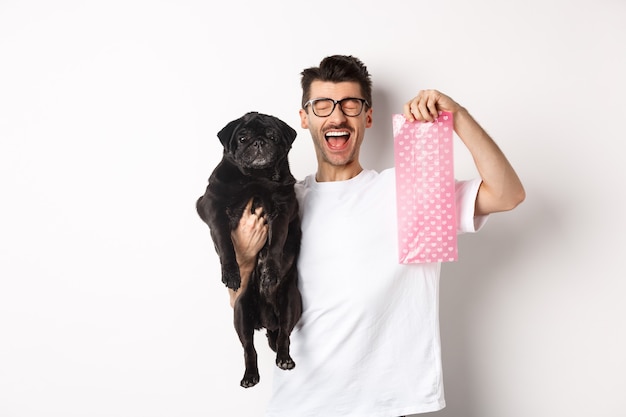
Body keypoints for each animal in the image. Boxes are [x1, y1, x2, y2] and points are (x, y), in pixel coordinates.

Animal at [196, 110, 302, 386]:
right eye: (242, 137)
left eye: (273, 136)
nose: (259, 142)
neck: (256, 179)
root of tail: (267, 321)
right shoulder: (212, 206)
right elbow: (225, 243)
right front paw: (231, 273)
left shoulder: (283, 209)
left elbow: (276, 244)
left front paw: (270, 270)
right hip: (241, 314)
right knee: (249, 348)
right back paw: (251, 375)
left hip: (290, 304)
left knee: (284, 335)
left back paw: (284, 359)